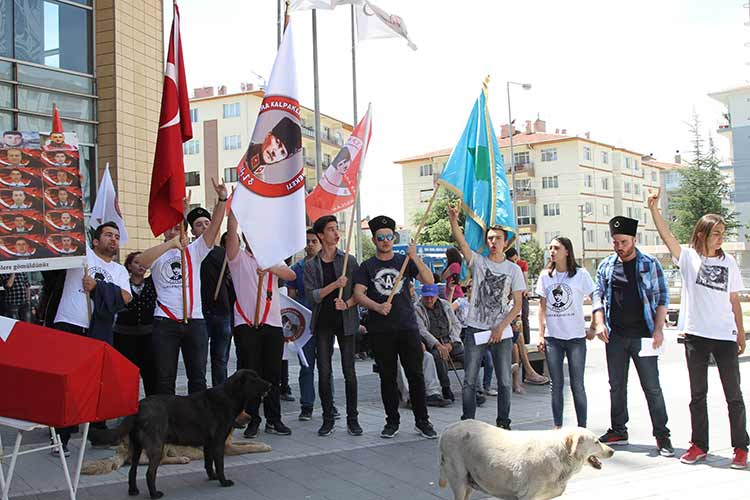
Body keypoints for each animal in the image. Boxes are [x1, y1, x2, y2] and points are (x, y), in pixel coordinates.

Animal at [92, 370, 270, 498]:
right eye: (254, 380)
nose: (270, 384)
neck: (229, 396)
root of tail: (139, 407)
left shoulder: (208, 443)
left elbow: (208, 463)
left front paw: (212, 477)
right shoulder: (219, 442)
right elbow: (220, 464)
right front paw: (223, 481)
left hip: (137, 447)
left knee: (132, 470)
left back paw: (133, 491)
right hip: (157, 446)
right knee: (150, 473)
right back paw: (155, 494)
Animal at [440, 420, 616, 498]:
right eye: (596, 442)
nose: (613, 451)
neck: (560, 455)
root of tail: (447, 429)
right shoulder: (527, 496)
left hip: (468, 483)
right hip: (459, 479)